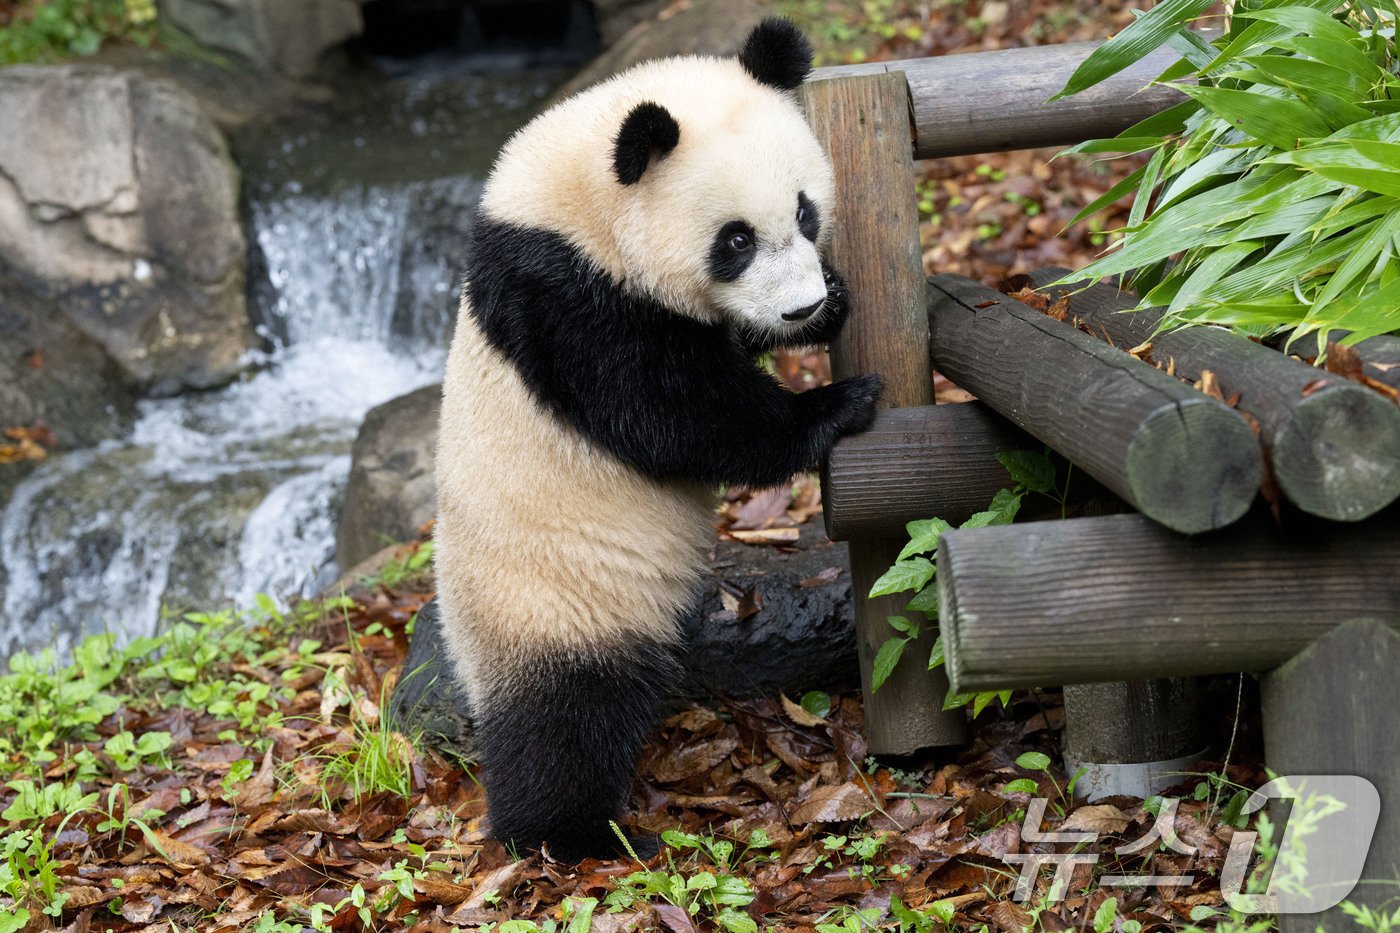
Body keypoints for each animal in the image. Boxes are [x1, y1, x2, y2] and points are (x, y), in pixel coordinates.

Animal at [431, 16, 879, 857]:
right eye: (734, 241)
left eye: (806, 212)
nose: (802, 308)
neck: (572, 199)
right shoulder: (565, 295)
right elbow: (672, 413)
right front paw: (837, 405)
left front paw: (832, 303)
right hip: (552, 600)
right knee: (564, 724)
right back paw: (566, 833)